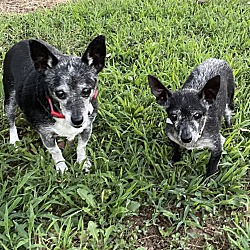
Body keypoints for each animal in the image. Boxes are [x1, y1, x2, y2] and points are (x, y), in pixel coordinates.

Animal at [3, 34, 106, 172]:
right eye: (60, 93)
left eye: (86, 91)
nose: (77, 120)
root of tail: (19, 43)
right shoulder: (46, 135)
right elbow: (56, 151)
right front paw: (61, 167)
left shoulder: (87, 127)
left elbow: (81, 146)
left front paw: (82, 162)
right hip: (10, 100)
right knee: (11, 120)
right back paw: (14, 140)